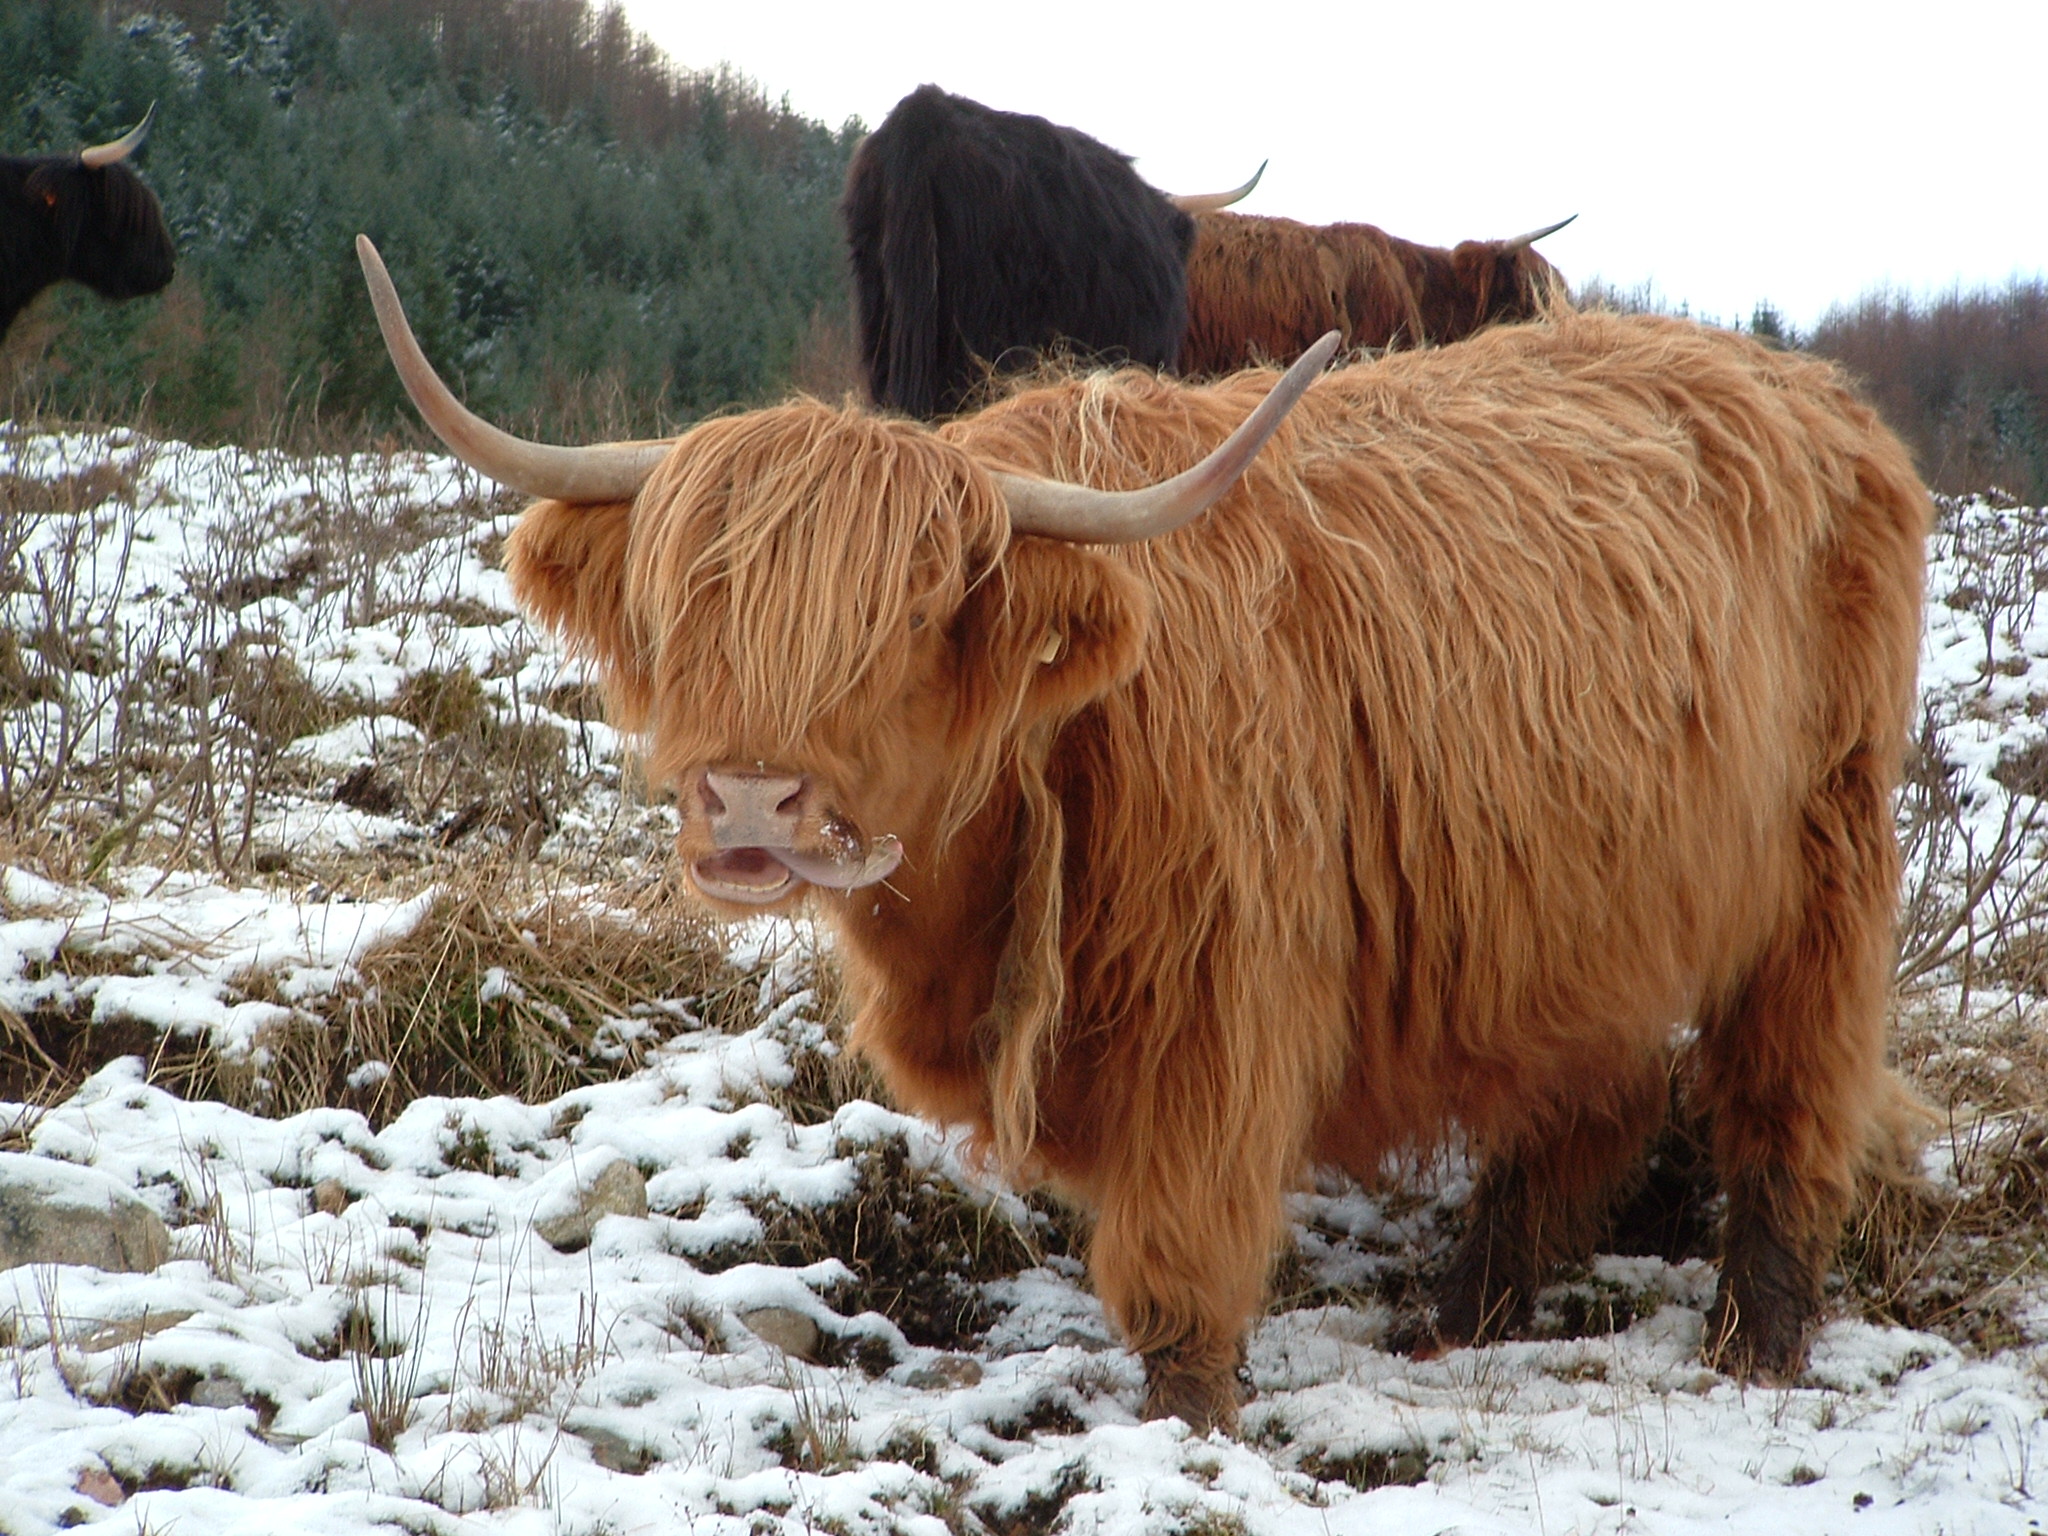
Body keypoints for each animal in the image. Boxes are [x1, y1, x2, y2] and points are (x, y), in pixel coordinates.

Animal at [356, 234, 1933, 1441]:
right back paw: (1460, 1317)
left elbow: (1178, 1268)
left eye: (916, 619)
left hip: (1827, 860)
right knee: (1582, 1104)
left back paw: (1754, 1346)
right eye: (689, 609)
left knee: (1788, 1098)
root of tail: (1820, 399)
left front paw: (1191, 1427)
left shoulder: (1217, 1012)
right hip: (1578, 909)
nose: (750, 808)